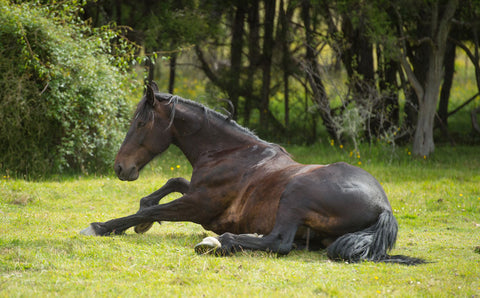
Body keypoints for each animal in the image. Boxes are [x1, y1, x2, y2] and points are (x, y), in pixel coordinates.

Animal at [80, 82, 426, 266]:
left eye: (140, 123)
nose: (120, 167)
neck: (230, 152)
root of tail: (383, 207)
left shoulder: (200, 206)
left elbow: (145, 212)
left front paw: (100, 227)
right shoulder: (196, 192)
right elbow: (171, 184)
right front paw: (143, 214)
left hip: (295, 194)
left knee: (280, 242)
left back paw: (218, 242)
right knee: (288, 243)